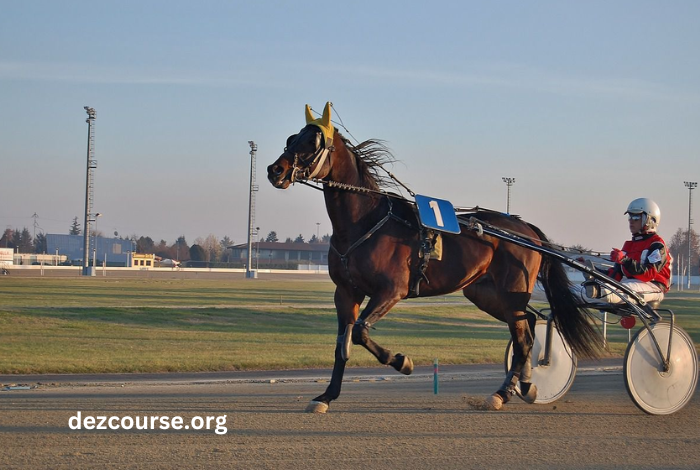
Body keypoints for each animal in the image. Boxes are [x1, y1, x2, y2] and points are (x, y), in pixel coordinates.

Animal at [266, 103, 600, 412]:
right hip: (485, 293)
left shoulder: (392, 290)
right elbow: (342, 345)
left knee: (523, 338)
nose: (275, 170)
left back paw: (503, 393)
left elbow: (359, 331)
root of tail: (525, 228)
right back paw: (526, 385)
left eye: (313, 142)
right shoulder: (346, 292)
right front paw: (325, 396)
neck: (364, 221)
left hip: (512, 290)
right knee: (527, 324)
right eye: (292, 138)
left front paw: (402, 361)